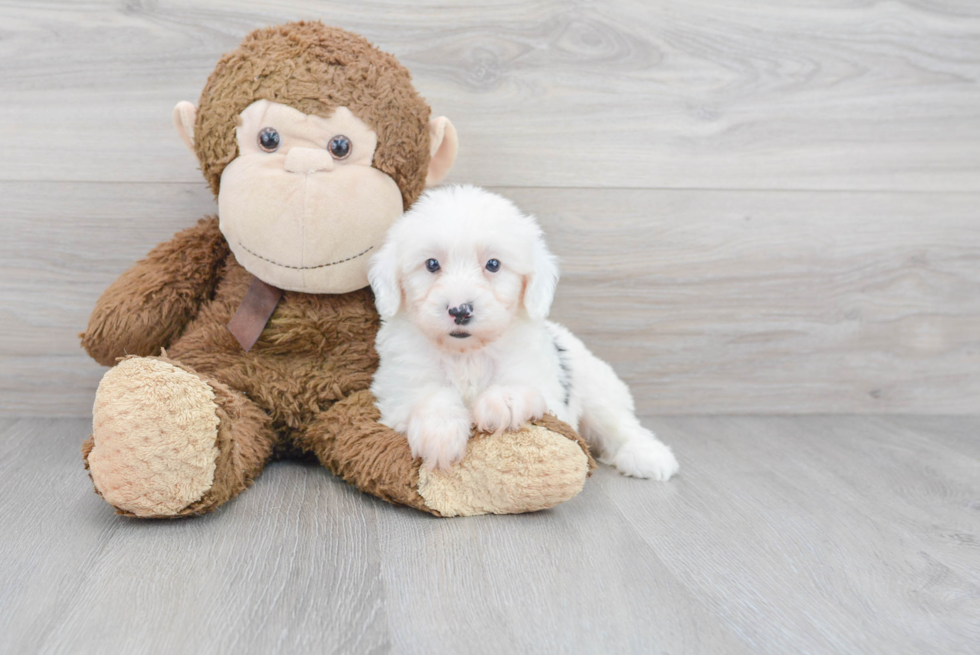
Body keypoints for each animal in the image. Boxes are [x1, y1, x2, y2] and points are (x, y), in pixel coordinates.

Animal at [366, 186, 672, 482]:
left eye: (493, 264)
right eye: (431, 264)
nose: (460, 311)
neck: (467, 353)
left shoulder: (544, 385)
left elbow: (523, 385)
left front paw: (504, 401)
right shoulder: (399, 386)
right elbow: (430, 395)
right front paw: (440, 431)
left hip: (597, 390)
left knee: (620, 425)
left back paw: (649, 457)